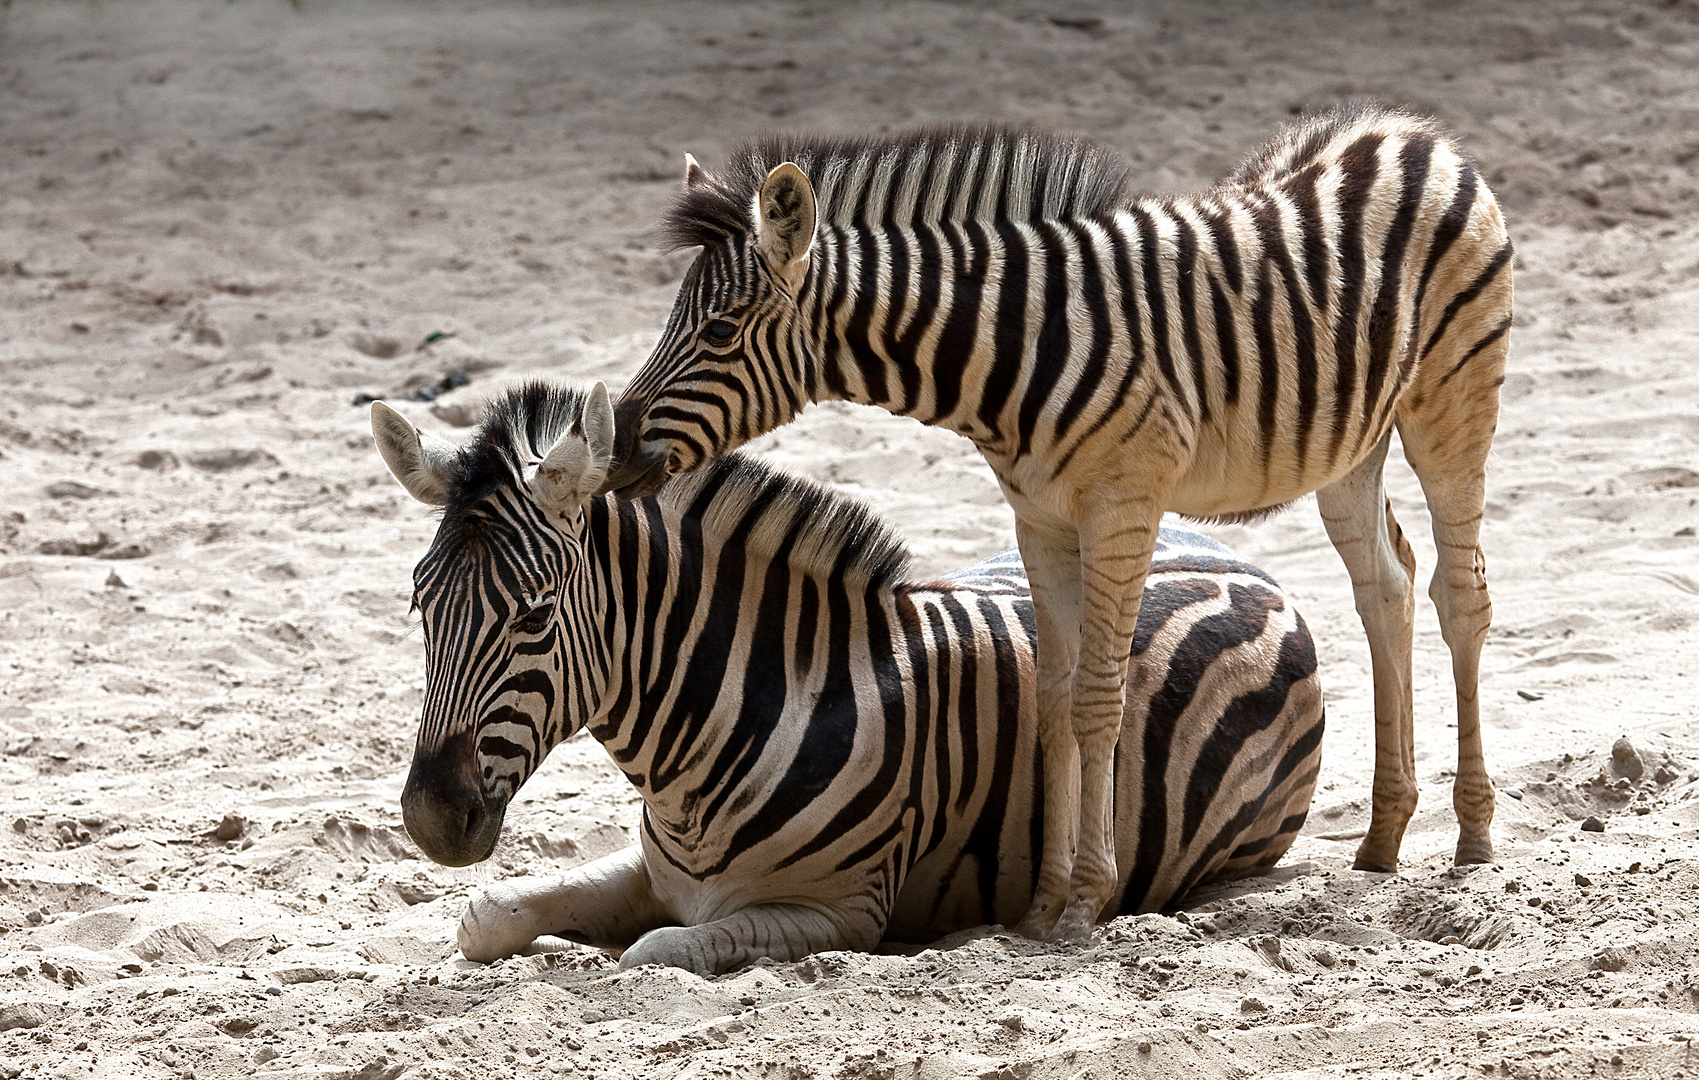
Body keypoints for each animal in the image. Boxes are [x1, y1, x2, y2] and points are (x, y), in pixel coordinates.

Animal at [372, 382, 1325, 978]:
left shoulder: (841, 913)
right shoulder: (656, 872)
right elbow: (486, 913)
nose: (428, 820)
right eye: (418, 603)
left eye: (533, 616)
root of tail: (1250, 567)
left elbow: (653, 952)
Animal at [601, 103, 1515, 944]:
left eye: (719, 330)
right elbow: (1049, 697)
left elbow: (1098, 697)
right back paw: (1382, 839)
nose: (611, 450)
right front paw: (1042, 904)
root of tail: (1401, 129)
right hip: (1349, 444)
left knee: (1460, 595)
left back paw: (1472, 836)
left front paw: (1085, 904)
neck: (1009, 354)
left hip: (1450, 400)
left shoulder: (1122, 504)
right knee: (1384, 589)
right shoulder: (1037, 517)